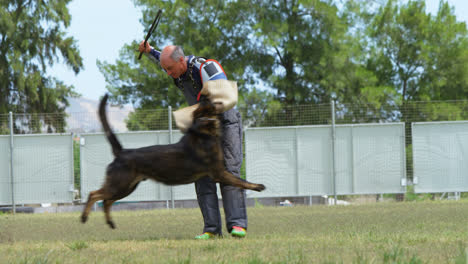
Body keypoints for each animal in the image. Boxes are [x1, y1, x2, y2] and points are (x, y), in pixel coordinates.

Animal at [81, 94, 266, 228]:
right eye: (203, 104)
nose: (204, 95)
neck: (205, 130)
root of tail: (121, 152)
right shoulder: (219, 172)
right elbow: (241, 181)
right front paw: (257, 186)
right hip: (119, 184)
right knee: (94, 194)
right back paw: (84, 217)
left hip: (127, 187)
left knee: (106, 201)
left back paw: (110, 223)